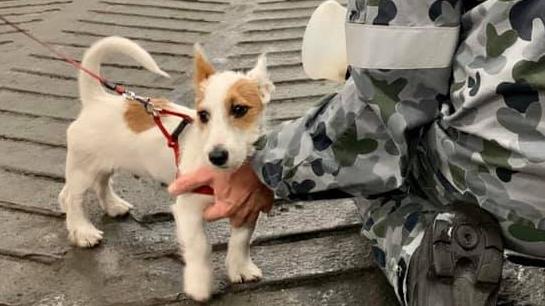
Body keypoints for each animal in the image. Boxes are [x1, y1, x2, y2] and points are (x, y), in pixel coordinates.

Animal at [58, 36, 276, 302]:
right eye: (203, 115)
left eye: (239, 109)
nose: (216, 156)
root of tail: (97, 100)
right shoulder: (188, 210)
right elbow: (200, 247)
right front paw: (199, 284)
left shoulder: (246, 208)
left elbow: (241, 240)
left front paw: (240, 268)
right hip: (83, 170)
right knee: (73, 198)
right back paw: (82, 231)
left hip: (104, 163)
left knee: (98, 184)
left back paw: (113, 205)